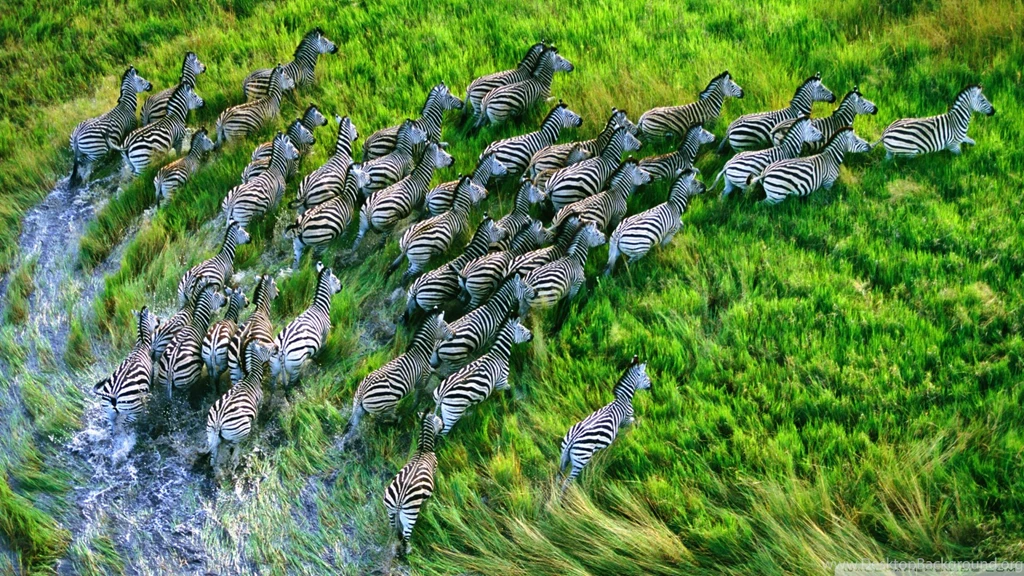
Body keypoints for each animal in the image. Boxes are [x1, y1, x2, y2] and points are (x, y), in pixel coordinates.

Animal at [207, 340, 277, 477]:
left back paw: (216, 471)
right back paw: (232, 463)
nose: (276, 347)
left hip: (211, 434)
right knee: (229, 447)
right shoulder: (259, 405)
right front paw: (256, 431)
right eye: (265, 347)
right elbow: (256, 421)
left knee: (214, 455)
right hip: (240, 431)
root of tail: (218, 421)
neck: (252, 377)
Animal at [270, 262, 341, 392]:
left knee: (272, 385)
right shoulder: (324, 334)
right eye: (334, 278)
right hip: (294, 366)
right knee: (291, 384)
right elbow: (322, 348)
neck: (319, 307)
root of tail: (282, 350)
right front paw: (317, 358)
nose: (342, 286)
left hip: (274, 367)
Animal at [340, 311, 453, 449]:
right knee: (387, 417)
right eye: (445, 325)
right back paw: (397, 420)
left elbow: (433, 372)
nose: (455, 334)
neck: (420, 353)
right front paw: (412, 411)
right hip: (388, 404)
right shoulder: (421, 382)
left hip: (360, 410)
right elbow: (418, 398)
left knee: (353, 428)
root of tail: (361, 394)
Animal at [382, 413, 444, 556]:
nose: (444, 425)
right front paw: (428, 509)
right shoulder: (435, 469)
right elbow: (428, 500)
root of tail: (399, 500)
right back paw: (407, 551)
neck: (423, 449)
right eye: (438, 420)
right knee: (405, 536)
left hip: (391, 512)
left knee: (396, 531)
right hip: (410, 515)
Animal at [559, 355, 651, 492]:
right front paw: (638, 429)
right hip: (581, 460)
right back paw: (563, 496)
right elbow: (634, 421)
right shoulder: (626, 419)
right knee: (566, 482)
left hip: (564, 457)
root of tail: (572, 440)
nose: (652, 386)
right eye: (645, 375)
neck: (622, 400)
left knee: (558, 477)